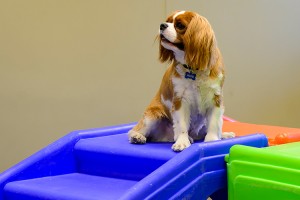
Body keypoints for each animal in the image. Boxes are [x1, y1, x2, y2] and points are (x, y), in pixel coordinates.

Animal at [127, 10, 233, 152]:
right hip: (152, 116)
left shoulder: (215, 99)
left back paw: (223, 135)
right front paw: (182, 142)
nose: (162, 25)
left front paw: (212, 141)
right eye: (168, 21)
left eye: (180, 25)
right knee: (133, 131)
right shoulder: (180, 100)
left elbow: (214, 123)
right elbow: (182, 125)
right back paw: (137, 137)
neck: (193, 67)